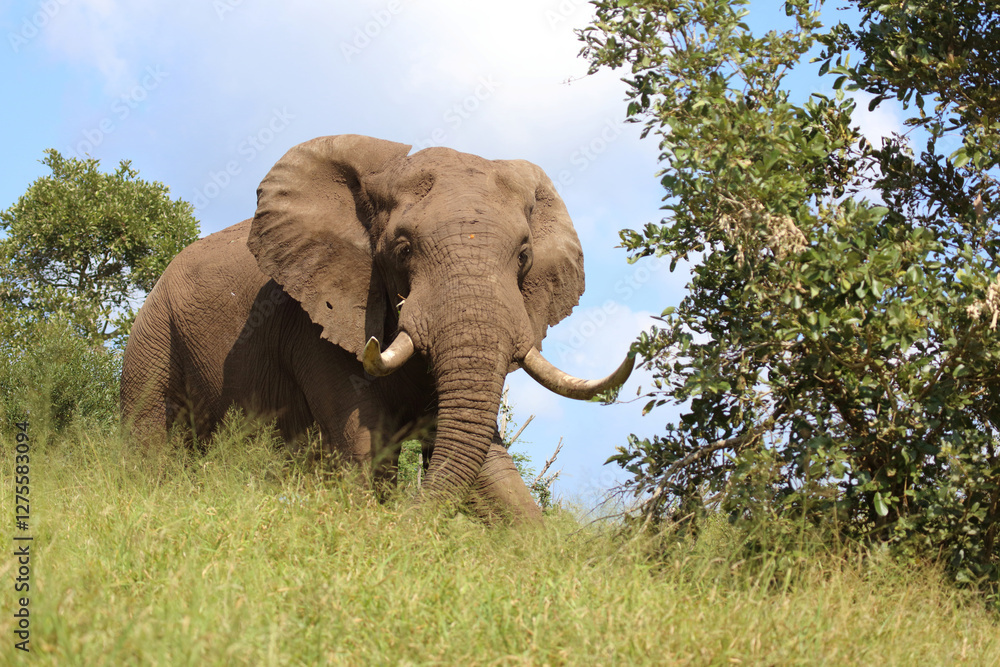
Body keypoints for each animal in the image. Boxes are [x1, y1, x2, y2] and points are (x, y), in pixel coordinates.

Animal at [120, 134, 634, 522]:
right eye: (403, 250)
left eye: (524, 256)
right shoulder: (316, 320)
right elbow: (368, 448)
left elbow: (492, 470)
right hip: (153, 333)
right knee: (148, 443)